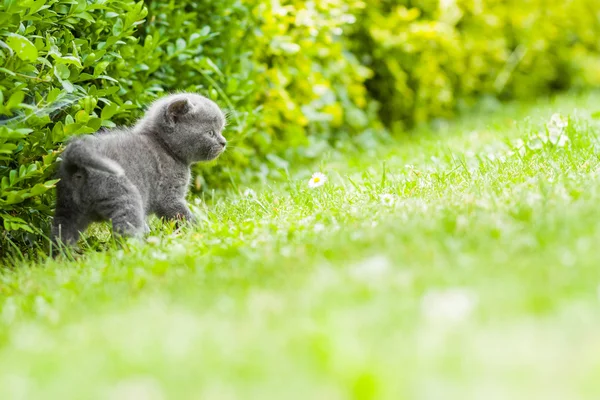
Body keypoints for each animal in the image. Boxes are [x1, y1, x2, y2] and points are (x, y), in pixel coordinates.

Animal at [51, 93, 227, 248]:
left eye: (220, 130)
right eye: (210, 132)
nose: (224, 142)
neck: (164, 146)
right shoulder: (169, 195)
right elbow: (181, 215)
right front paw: (201, 231)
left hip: (68, 206)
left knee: (61, 233)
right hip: (125, 196)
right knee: (126, 229)